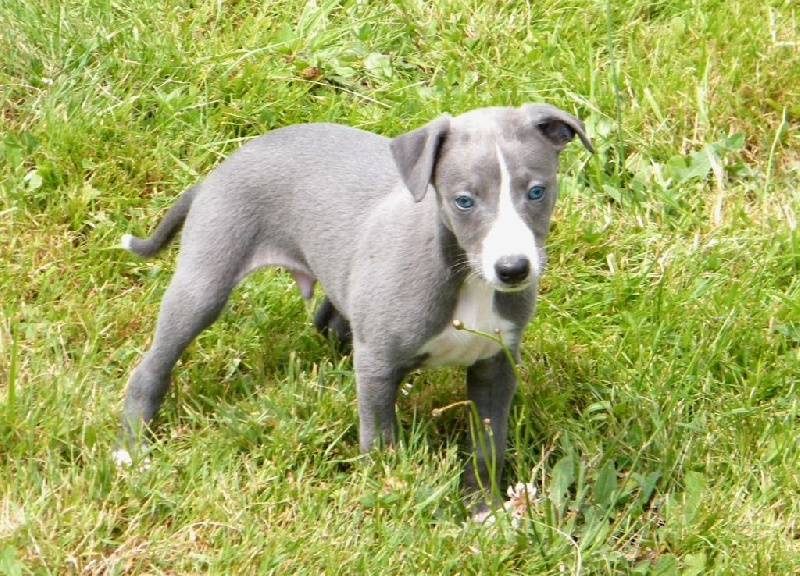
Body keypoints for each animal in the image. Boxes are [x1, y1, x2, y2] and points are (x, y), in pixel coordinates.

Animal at [115, 104, 592, 513]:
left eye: (537, 191)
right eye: (464, 201)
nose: (513, 269)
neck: (465, 279)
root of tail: (215, 174)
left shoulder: (496, 364)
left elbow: (487, 445)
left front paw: (485, 510)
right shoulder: (379, 361)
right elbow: (380, 440)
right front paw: (390, 494)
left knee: (329, 318)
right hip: (205, 281)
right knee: (152, 365)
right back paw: (131, 451)